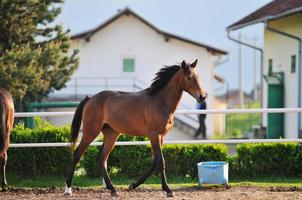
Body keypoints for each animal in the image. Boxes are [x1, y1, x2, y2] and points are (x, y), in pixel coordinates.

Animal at [64, 59, 206, 197]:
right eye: (189, 77)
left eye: (198, 76)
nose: (202, 97)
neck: (159, 101)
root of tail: (90, 98)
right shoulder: (154, 136)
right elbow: (161, 161)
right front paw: (168, 190)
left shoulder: (161, 137)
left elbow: (154, 162)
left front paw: (133, 185)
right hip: (90, 132)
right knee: (77, 155)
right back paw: (68, 189)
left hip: (111, 134)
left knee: (102, 158)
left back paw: (113, 190)